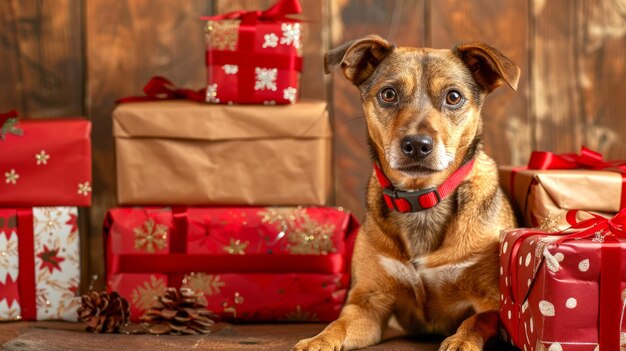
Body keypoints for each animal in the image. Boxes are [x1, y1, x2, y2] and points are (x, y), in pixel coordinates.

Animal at [292, 36, 516, 351]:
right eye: (388, 94)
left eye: (454, 97)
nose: (417, 145)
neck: (420, 198)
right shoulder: (368, 303)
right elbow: (338, 324)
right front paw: (318, 339)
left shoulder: (493, 301)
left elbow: (477, 319)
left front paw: (461, 341)